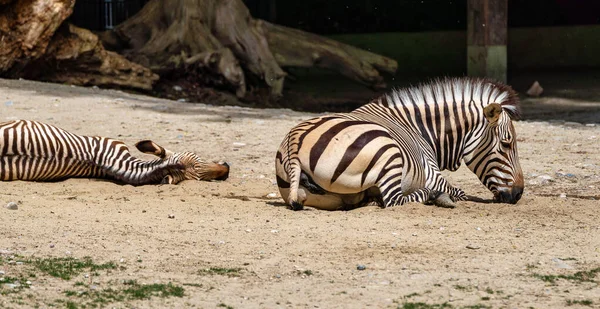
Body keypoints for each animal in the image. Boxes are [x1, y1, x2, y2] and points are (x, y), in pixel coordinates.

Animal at [274, 78, 524, 211]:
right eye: (506, 144)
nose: (519, 194)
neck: (420, 129)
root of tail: (294, 142)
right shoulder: (432, 174)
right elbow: (460, 191)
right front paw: (445, 196)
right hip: (389, 151)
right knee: (394, 200)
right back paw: (435, 196)